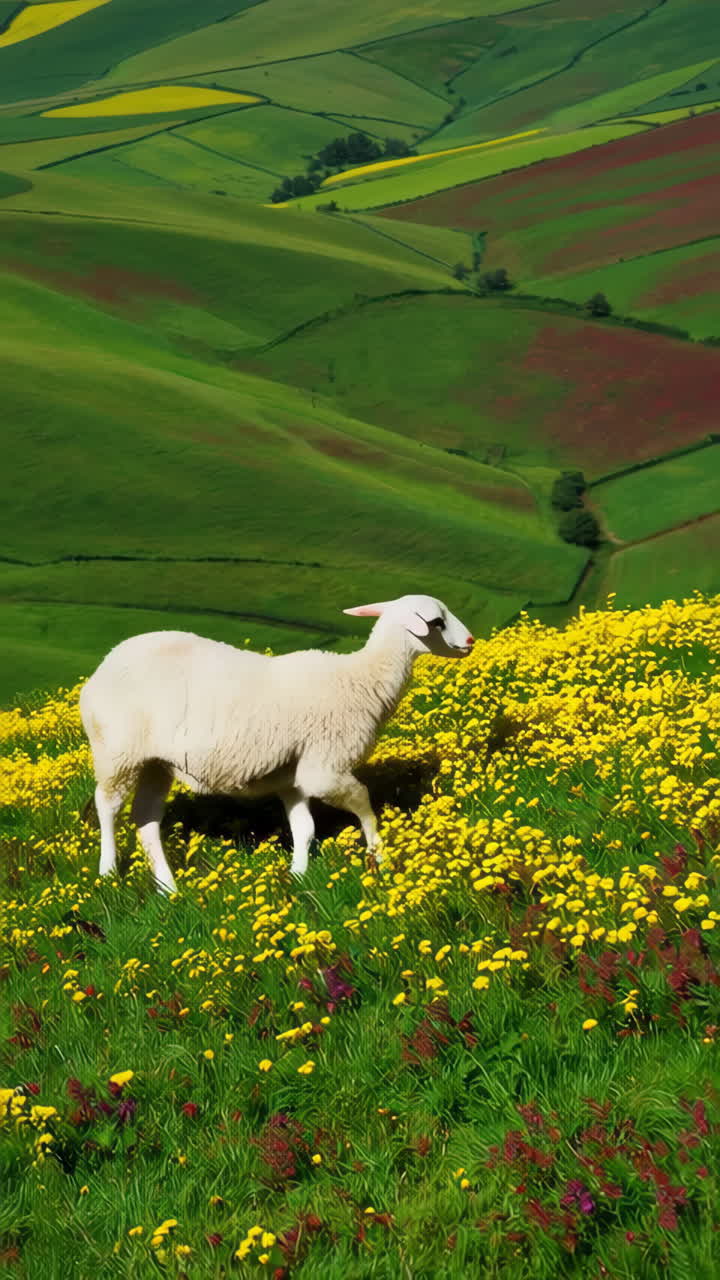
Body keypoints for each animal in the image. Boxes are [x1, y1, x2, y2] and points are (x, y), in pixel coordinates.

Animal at [79, 593, 475, 892]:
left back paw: (168, 888)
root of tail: (98, 673)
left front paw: (298, 875)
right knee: (107, 805)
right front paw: (379, 855)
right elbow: (364, 803)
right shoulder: (324, 767)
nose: (470, 642)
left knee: (145, 819)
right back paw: (108, 869)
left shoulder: (293, 776)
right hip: (117, 750)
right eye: (437, 622)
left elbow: (304, 828)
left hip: (156, 762)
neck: (361, 678)